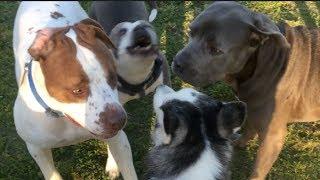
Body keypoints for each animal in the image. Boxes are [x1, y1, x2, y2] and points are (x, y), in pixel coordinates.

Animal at [13, 1, 137, 180]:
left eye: (113, 77)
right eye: (77, 90)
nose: (119, 120)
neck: (63, 116)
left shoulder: (119, 139)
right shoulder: (36, 149)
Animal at [172, 1, 320, 180]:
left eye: (216, 50)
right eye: (190, 32)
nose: (177, 63)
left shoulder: (272, 137)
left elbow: (258, 170)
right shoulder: (250, 107)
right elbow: (249, 128)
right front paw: (239, 143)